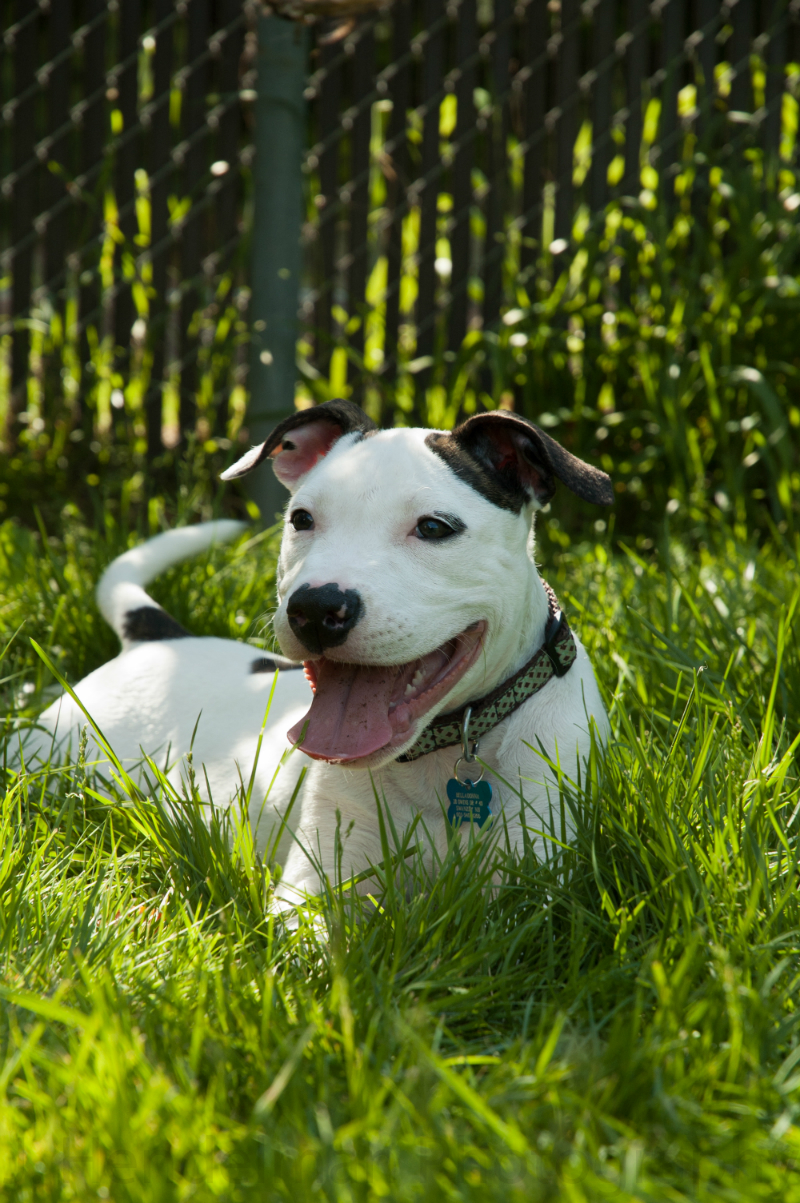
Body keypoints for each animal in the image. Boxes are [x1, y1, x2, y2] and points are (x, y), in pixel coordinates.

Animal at [10, 399, 611, 904]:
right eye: (302, 519)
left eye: (435, 527)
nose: (316, 609)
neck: (444, 754)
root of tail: (159, 638)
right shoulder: (316, 885)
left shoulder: (535, 881)